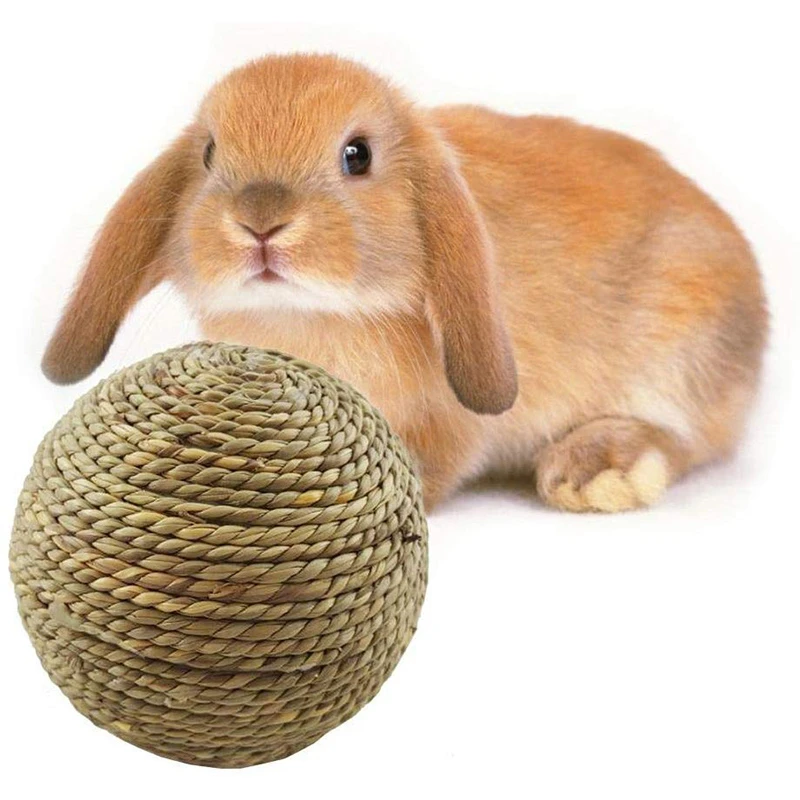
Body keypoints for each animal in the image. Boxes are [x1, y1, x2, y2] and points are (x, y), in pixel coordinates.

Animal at [42, 53, 768, 512]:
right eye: (210, 153)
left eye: (357, 156)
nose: (260, 221)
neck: (309, 318)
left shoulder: (446, 423)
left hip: (682, 347)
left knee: (687, 437)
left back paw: (596, 471)